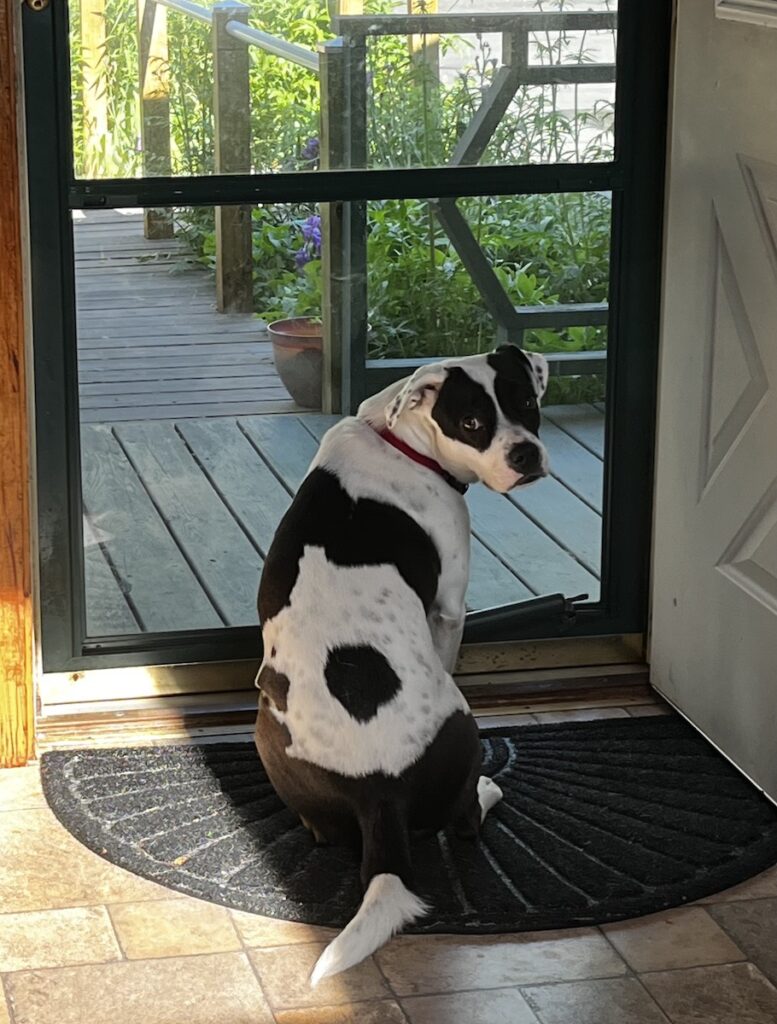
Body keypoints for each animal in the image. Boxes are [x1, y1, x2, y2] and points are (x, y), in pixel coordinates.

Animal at [253, 346, 548, 983]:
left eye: (527, 403)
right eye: (472, 423)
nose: (525, 454)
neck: (396, 438)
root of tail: (379, 791)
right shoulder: (449, 610)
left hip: (265, 725)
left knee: (323, 831)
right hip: (462, 727)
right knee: (463, 820)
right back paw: (487, 790)